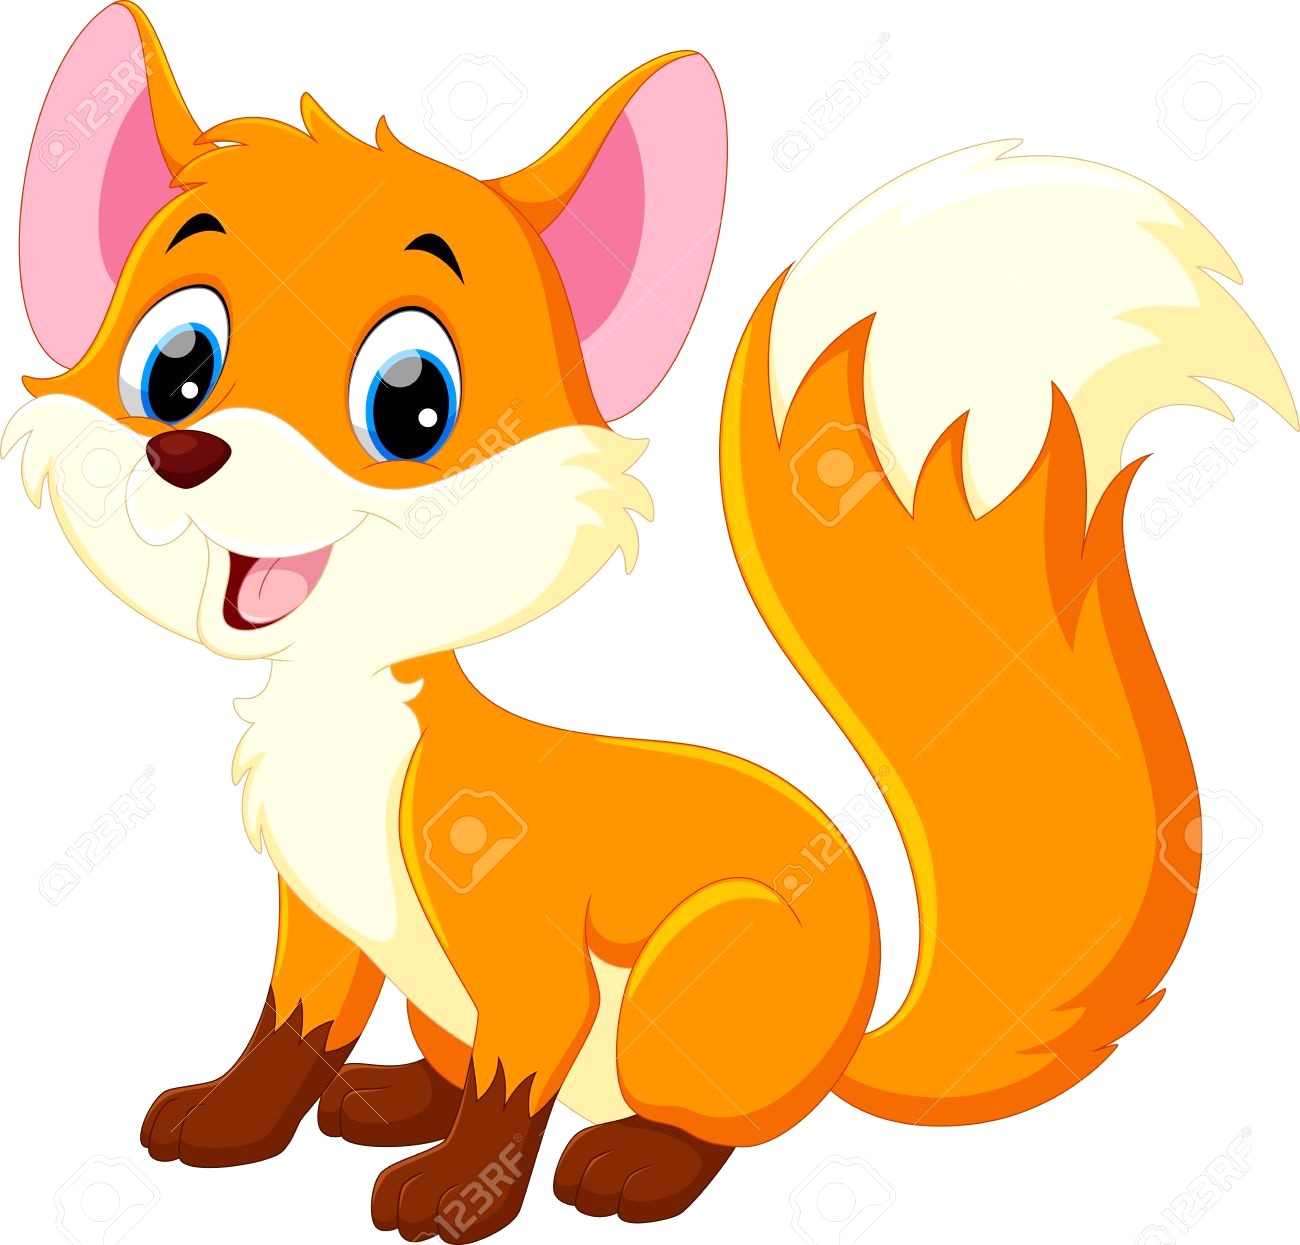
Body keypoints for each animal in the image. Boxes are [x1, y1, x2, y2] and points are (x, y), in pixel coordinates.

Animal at [7, 3, 1295, 1241]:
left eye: (411, 404)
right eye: (176, 367)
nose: (184, 453)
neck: (350, 727)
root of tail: (847, 1045)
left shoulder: (522, 940)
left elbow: (516, 1075)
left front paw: (461, 1197)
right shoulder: (320, 920)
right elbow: (290, 1031)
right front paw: (234, 1121)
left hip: (702, 971)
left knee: (707, 1128)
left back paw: (631, 1165)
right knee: (450, 1060)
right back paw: (391, 1100)